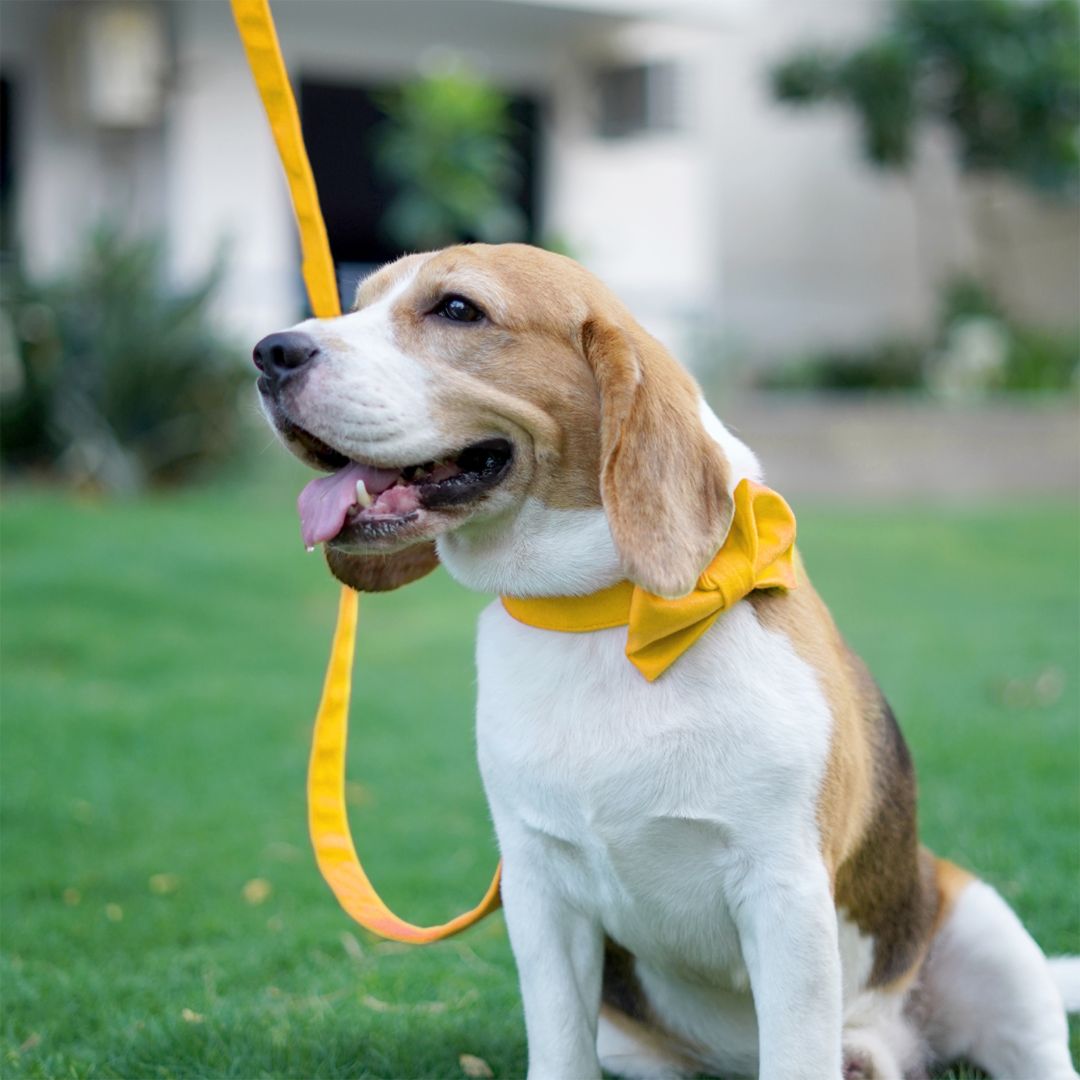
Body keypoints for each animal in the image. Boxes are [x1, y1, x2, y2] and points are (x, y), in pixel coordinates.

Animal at [250, 245, 1071, 1080]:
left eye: (457, 309)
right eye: (358, 302)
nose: (271, 352)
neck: (605, 617)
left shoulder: (784, 892)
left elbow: (796, 1046)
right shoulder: (541, 891)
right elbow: (558, 1046)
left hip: (983, 930)